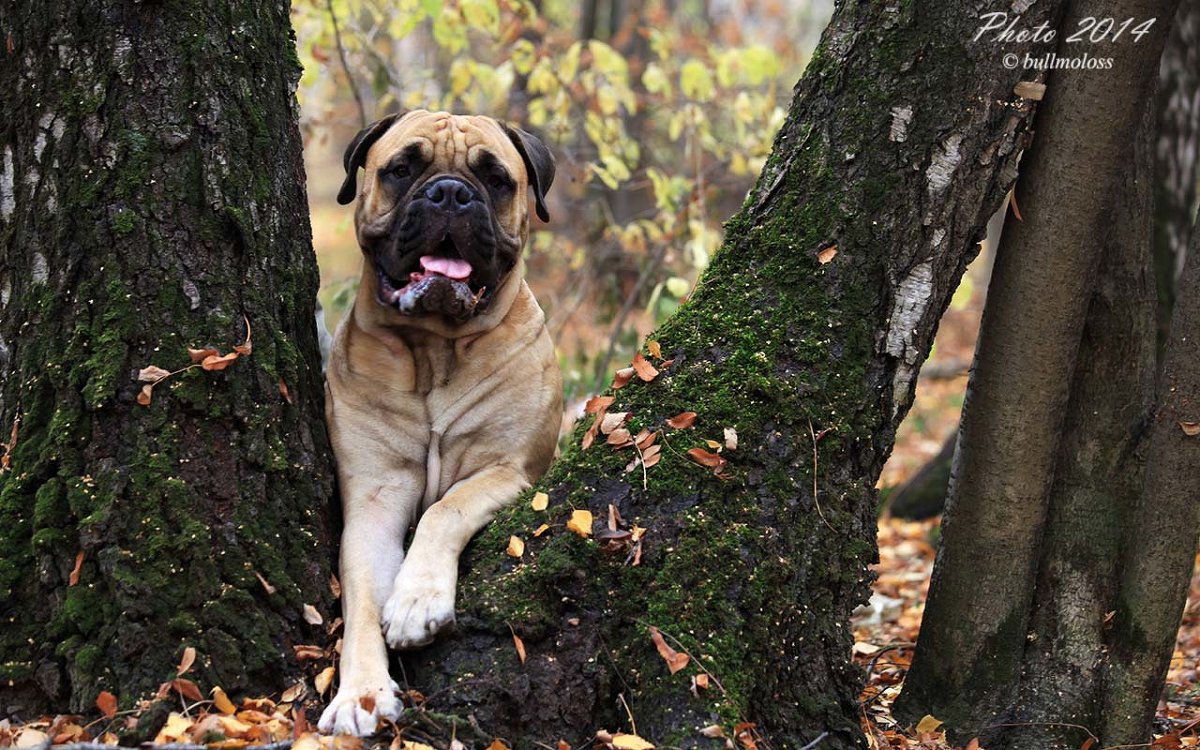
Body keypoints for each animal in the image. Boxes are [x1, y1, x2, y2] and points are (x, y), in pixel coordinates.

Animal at [316, 109, 564, 729]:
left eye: (496, 179)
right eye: (402, 169)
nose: (450, 193)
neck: (434, 348)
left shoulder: (507, 470)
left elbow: (445, 510)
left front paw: (415, 602)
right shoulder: (374, 497)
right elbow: (361, 595)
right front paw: (360, 694)